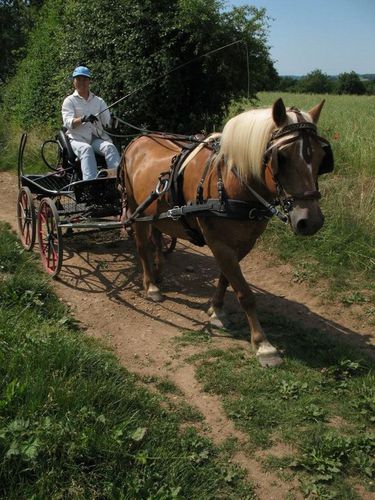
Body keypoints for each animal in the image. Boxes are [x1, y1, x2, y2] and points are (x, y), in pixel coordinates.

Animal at [122, 98, 334, 368]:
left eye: (321, 156)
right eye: (282, 157)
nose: (311, 221)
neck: (232, 183)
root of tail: (136, 140)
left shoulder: (244, 243)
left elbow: (226, 278)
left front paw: (217, 310)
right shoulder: (219, 243)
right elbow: (244, 292)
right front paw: (264, 345)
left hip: (157, 214)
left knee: (157, 240)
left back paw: (159, 276)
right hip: (135, 210)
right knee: (142, 247)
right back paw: (151, 286)